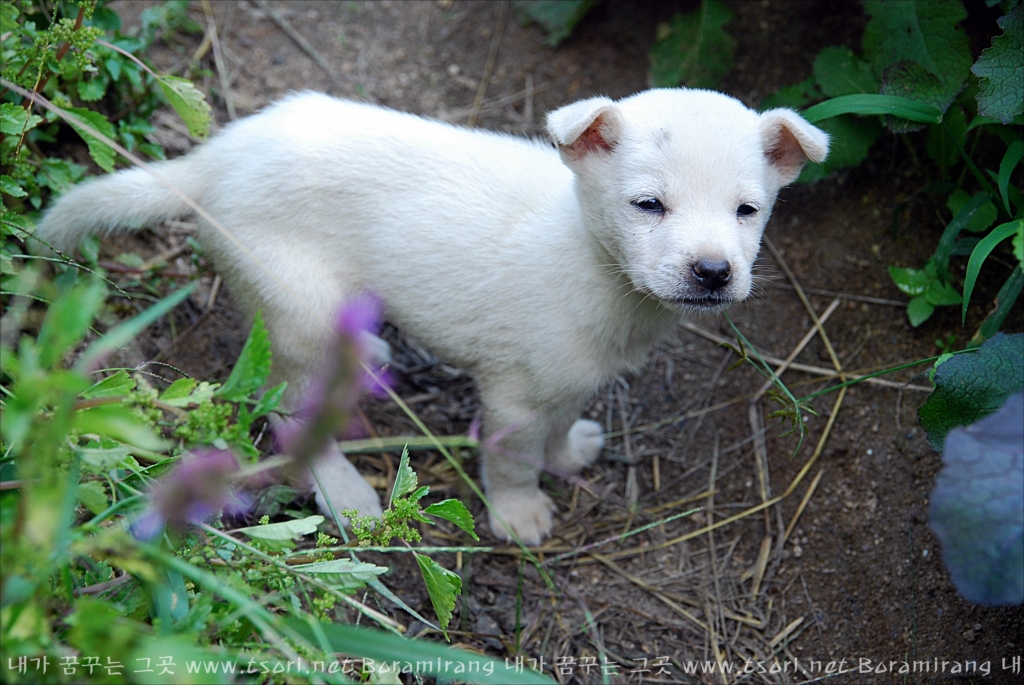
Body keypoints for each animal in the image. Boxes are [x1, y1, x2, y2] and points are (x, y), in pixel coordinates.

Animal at [36, 87, 827, 544]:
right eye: (648, 204)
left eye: (748, 210)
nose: (713, 272)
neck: (591, 263)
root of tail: (212, 163)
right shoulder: (512, 394)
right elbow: (511, 459)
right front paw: (519, 515)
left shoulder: (568, 378)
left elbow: (564, 421)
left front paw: (567, 454)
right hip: (298, 310)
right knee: (291, 412)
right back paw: (347, 495)